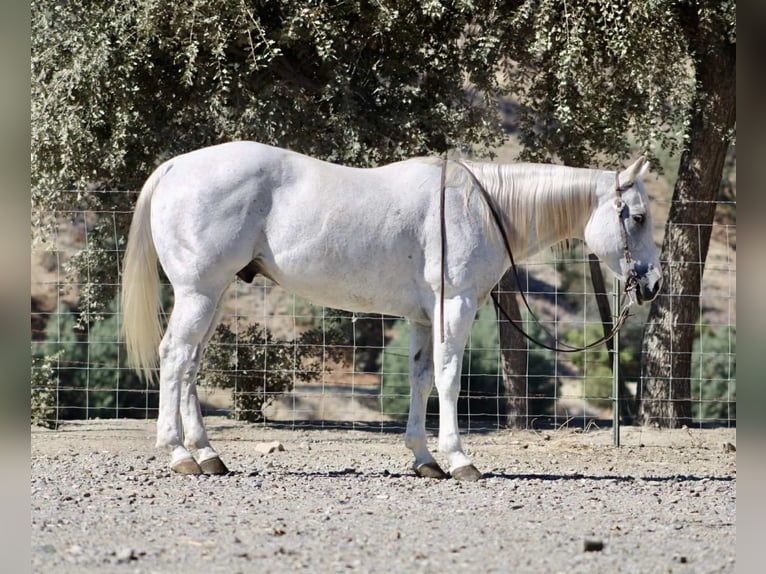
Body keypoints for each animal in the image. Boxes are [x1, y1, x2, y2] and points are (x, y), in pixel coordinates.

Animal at [121, 141, 662, 481]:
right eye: (637, 217)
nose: (653, 284)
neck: (479, 207)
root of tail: (175, 168)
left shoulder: (424, 317)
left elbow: (422, 380)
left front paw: (425, 460)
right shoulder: (456, 306)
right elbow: (449, 379)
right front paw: (459, 460)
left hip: (212, 296)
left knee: (190, 365)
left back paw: (207, 454)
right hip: (199, 292)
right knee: (175, 357)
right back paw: (178, 455)